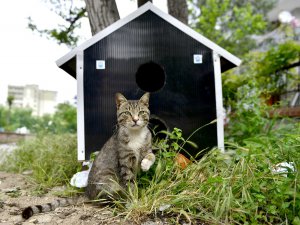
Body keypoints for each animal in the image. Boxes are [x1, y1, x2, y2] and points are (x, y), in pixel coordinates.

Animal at [21, 92, 155, 219]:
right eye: (127, 112)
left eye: (141, 112)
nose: (135, 119)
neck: (136, 135)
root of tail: (87, 193)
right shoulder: (125, 163)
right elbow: (130, 184)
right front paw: (133, 201)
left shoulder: (146, 148)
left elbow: (152, 155)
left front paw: (145, 165)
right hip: (108, 180)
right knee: (103, 199)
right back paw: (118, 201)